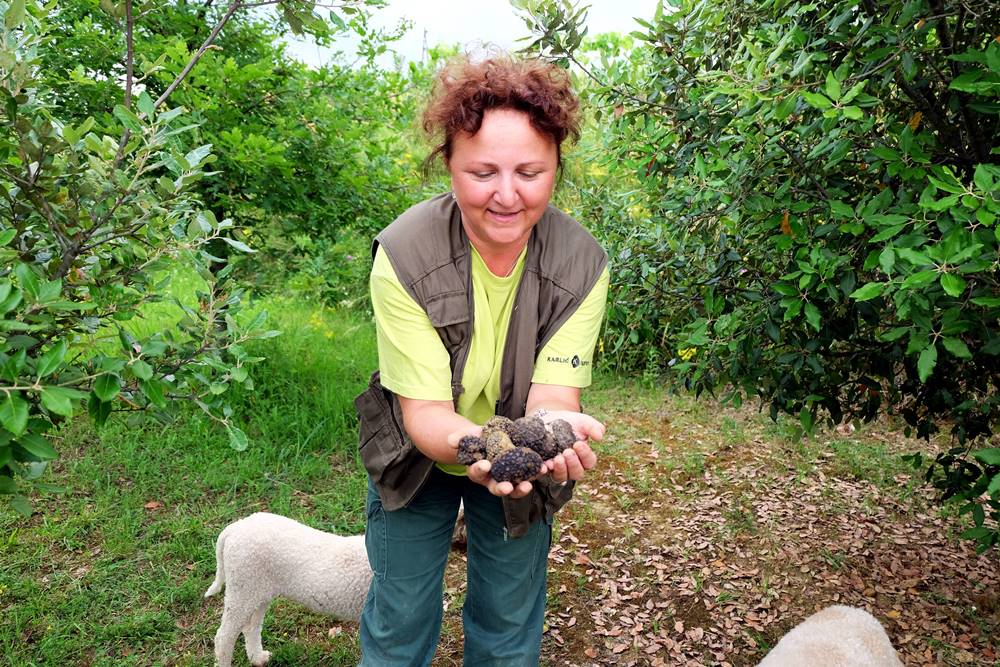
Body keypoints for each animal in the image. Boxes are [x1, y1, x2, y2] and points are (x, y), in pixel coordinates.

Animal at [203, 516, 372, 664]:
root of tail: (235, 527)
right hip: (243, 585)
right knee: (224, 638)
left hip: (257, 590)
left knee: (251, 627)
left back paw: (258, 658)